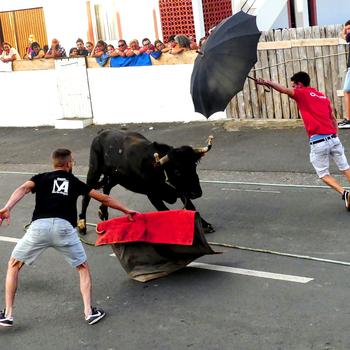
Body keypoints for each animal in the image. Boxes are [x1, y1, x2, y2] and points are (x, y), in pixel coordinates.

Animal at [78, 130, 215, 234]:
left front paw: (205, 225)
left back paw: (103, 212)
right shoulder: (152, 194)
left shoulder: (181, 190)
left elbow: (190, 206)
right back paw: (82, 225)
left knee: (106, 188)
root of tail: (101, 133)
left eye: (194, 165)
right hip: (94, 171)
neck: (159, 169)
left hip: (116, 177)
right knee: (86, 196)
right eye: (177, 171)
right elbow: (165, 211)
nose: (197, 193)